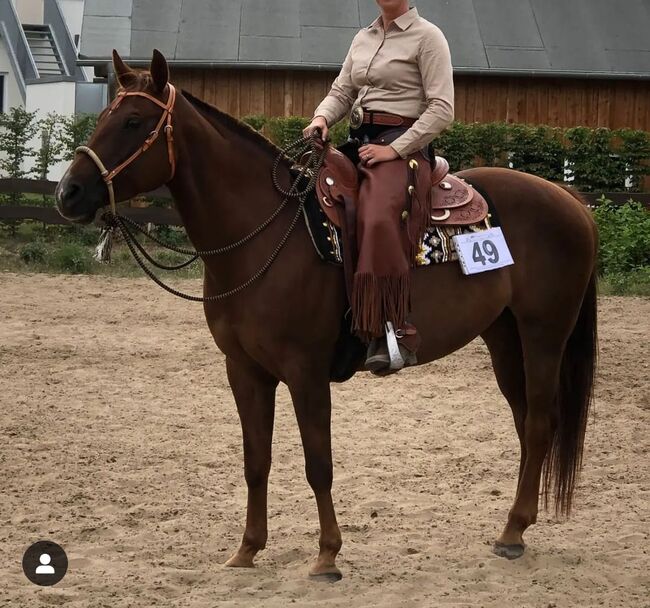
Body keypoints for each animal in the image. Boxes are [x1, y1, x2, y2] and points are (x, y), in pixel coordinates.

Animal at [57, 51, 596, 580]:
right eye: (104, 117)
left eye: (133, 121)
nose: (68, 193)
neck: (262, 234)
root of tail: (570, 199)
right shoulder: (244, 370)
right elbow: (256, 460)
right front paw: (247, 550)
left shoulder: (305, 372)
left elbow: (318, 463)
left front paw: (327, 556)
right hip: (504, 337)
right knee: (525, 422)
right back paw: (515, 527)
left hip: (544, 334)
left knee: (540, 422)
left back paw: (512, 534)